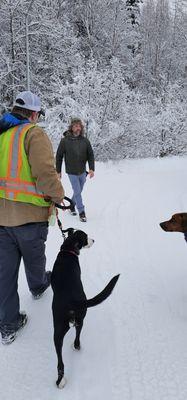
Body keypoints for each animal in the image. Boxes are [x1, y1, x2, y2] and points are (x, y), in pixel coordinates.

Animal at [50, 230, 119, 390]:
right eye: (86, 237)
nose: (94, 240)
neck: (68, 250)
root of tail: (73, 301)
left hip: (58, 327)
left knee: (60, 361)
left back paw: (60, 381)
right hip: (80, 319)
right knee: (77, 335)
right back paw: (76, 347)